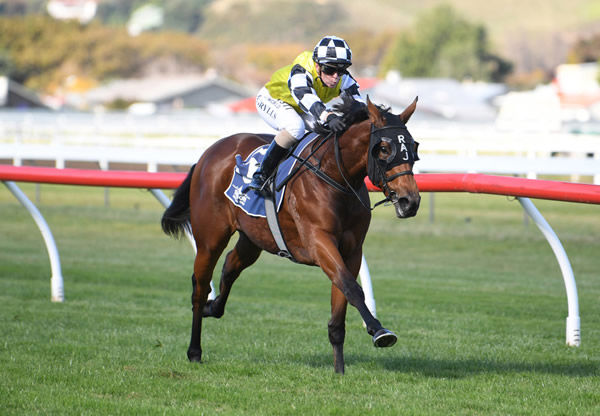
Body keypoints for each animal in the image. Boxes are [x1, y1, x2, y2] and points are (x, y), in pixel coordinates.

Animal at [162, 96, 420, 374]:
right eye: (383, 148)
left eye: (413, 146)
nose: (410, 201)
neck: (334, 176)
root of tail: (208, 153)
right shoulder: (318, 242)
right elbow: (352, 287)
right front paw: (379, 331)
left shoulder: (351, 252)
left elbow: (340, 304)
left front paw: (339, 370)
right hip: (210, 238)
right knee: (199, 288)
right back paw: (194, 350)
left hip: (252, 239)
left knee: (230, 266)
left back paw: (214, 307)